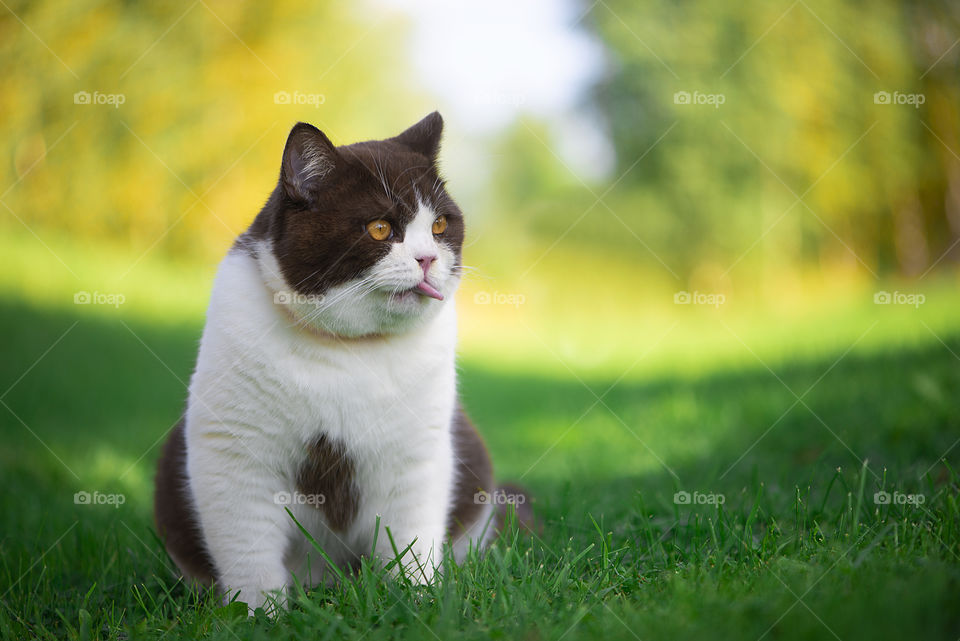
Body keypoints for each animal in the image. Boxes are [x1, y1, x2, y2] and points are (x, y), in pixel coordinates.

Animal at [156, 114, 532, 608]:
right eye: (379, 228)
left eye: (439, 225)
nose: (428, 258)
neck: (347, 348)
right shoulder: (234, 451)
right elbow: (248, 551)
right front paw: (260, 613)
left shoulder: (417, 452)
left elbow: (411, 539)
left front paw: (417, 602)